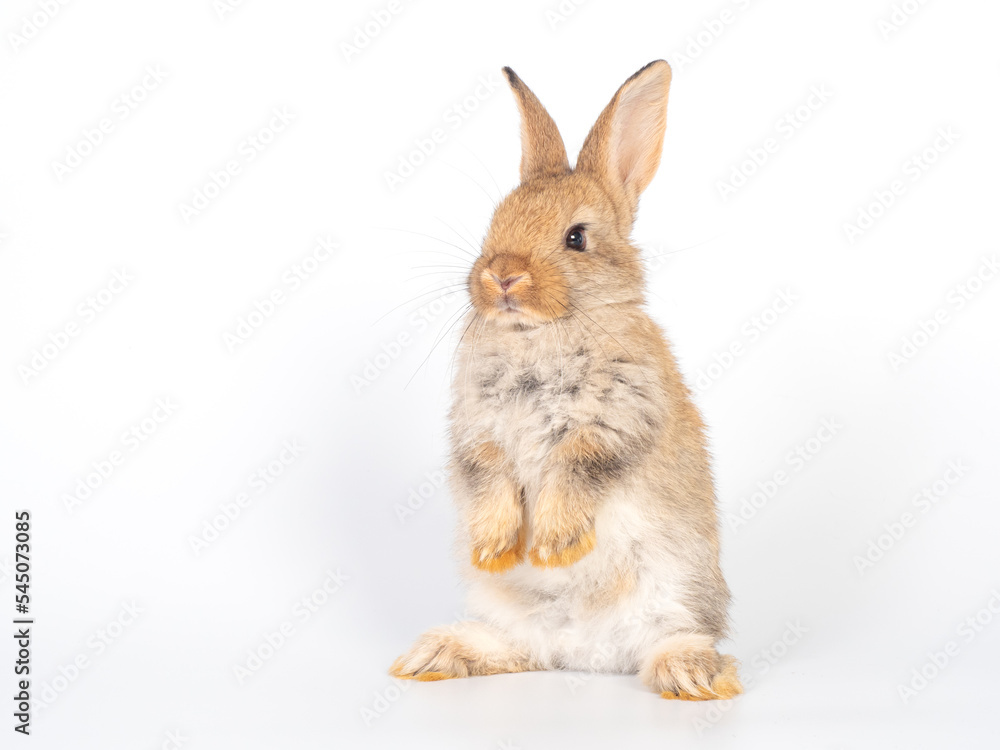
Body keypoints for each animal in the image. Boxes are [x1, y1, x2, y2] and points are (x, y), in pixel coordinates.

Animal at [390, 60, 742, 701]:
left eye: (576, 238)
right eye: (495, 223)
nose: (502, 275)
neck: (538, 332)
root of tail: (587, 653)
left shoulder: (617, 418)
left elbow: (578, 466)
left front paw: (553, 545)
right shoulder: (477, 428)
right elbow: (490, 474)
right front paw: (495, 545)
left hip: (675, 593)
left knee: (673, 639)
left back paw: (690, 675)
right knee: (520, 649)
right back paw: (436, 654)